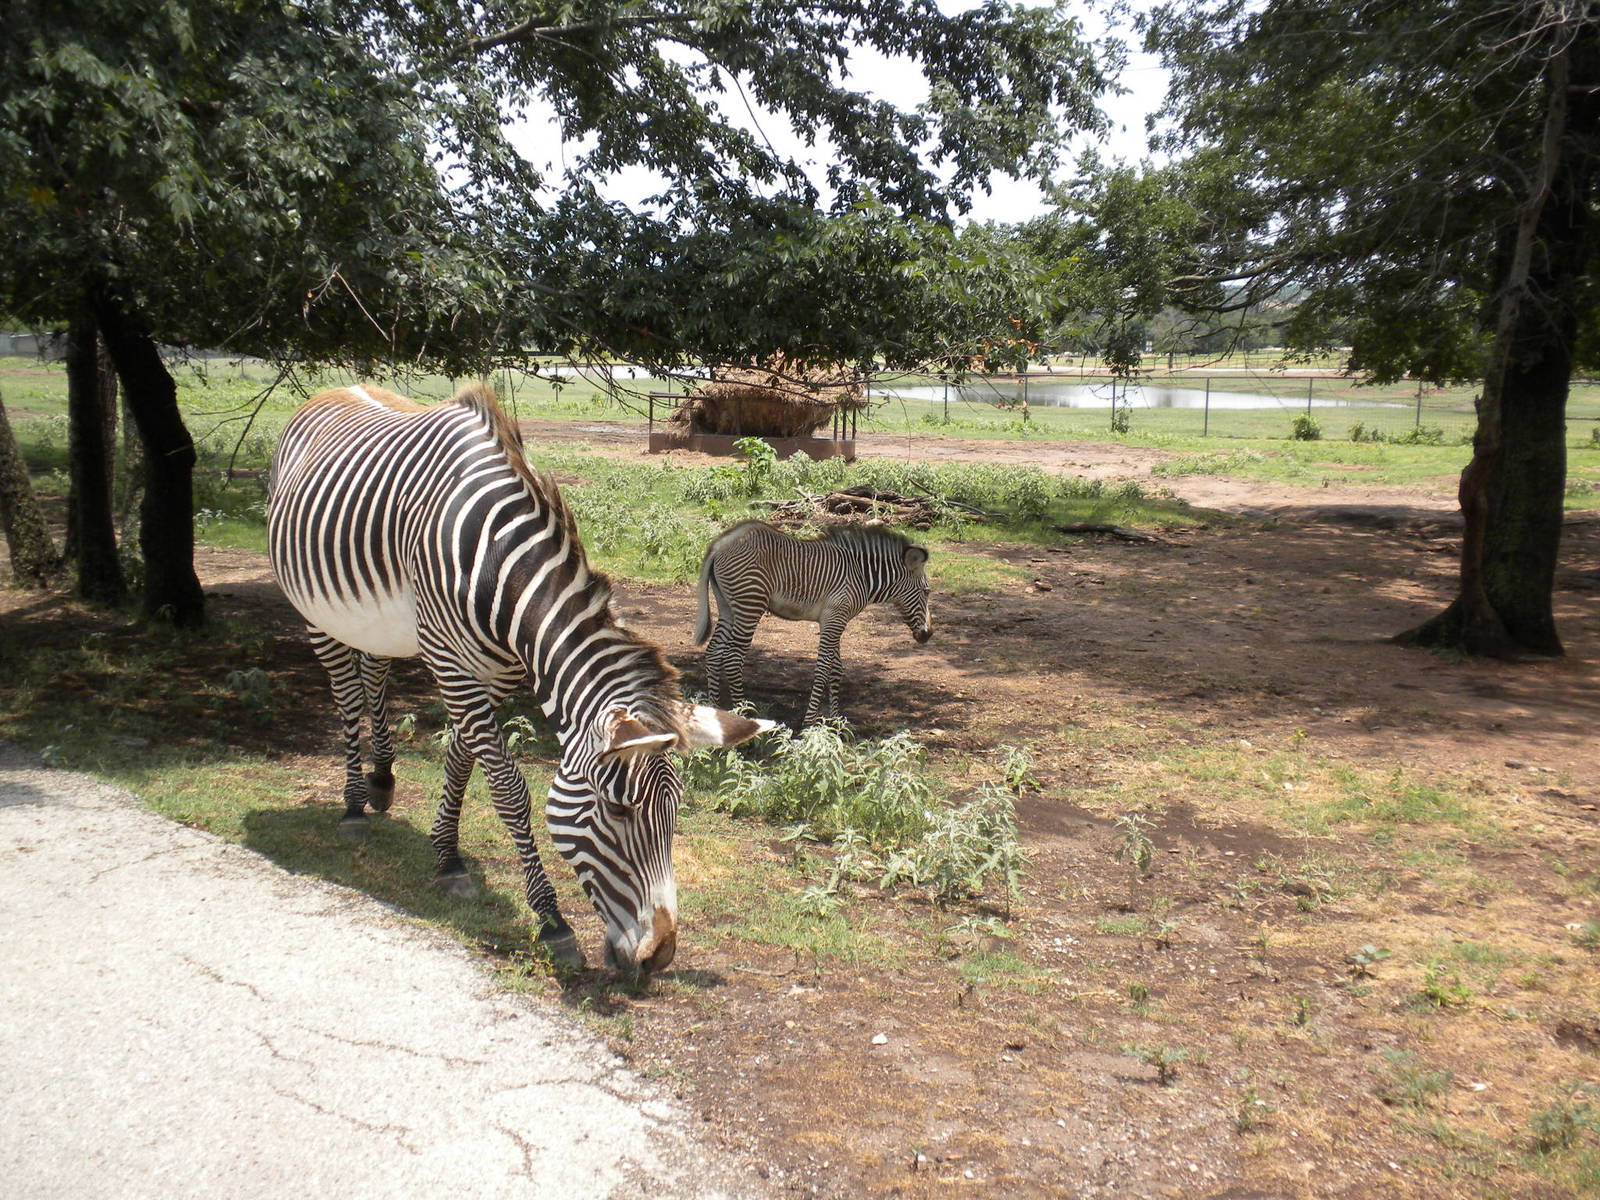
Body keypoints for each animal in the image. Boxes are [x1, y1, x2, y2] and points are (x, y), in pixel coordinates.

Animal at [267, 382, 772, 973]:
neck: (499, 571)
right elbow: (507, 787)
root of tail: (333, 389)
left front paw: (447, 857)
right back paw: (352, 804)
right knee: (346, 693)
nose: (659, 957)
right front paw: (551, 920)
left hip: (381, 623)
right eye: (619, 809)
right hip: (316, 610)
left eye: (674, 815)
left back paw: (382, 780)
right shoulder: (451, 663)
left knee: (374, 671)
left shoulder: (493, 673)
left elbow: (461, 758)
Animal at [693, 519, 932, 725]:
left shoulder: (835, 619)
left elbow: (836, 668)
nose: (928, 634)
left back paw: (715, 713)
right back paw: (745, 715)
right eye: (927, 592)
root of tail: (722, 542)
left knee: (714, 652)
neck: (862, 575)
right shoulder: (835, 618)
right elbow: (823, 668)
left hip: (728, 607)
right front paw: (809, 723)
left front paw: (835, 723)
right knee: (733, 657)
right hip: (750, 605)